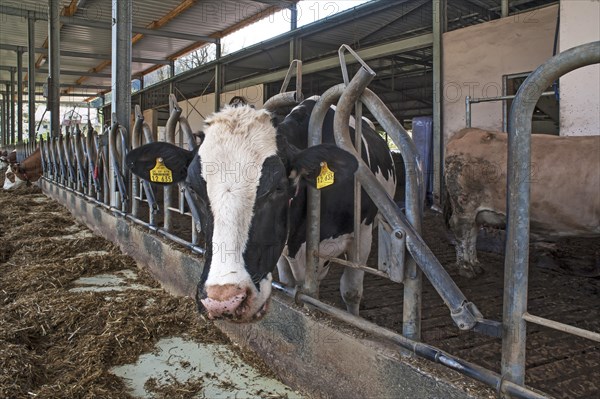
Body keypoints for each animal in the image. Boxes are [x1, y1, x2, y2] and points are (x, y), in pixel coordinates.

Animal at [127, 98, 394, 324]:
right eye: (192, 188)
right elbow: (290, 282)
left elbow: (351, 291)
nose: (223, 301)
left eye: (279, 187)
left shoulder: (362, 235)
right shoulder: (285, 249)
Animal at [442, 128, 596, 278]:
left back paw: (475, 265)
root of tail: (472, 130)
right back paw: (466, 267)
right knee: (461, 229)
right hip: (464, 203)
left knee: (473, 230)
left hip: (474, 210)